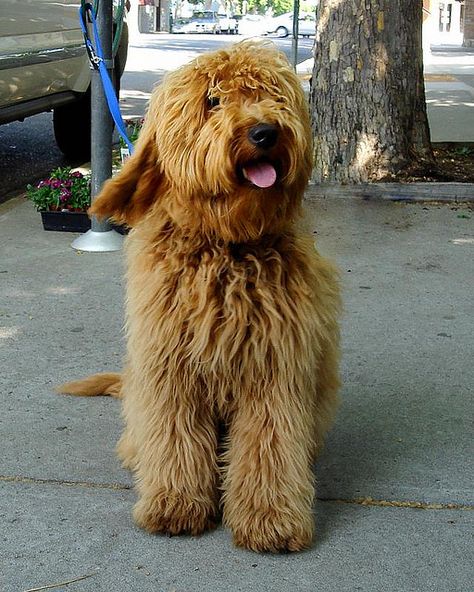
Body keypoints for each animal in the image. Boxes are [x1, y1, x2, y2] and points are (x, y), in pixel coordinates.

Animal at [59, 42, 340, 556]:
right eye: (213, 101)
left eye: (272, 95)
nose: (265, 132)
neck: (226, 246)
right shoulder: (170, 367)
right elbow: (176, 438)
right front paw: (175, 504)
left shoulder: (274, 368)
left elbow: (268, 445)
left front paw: (270, 518)